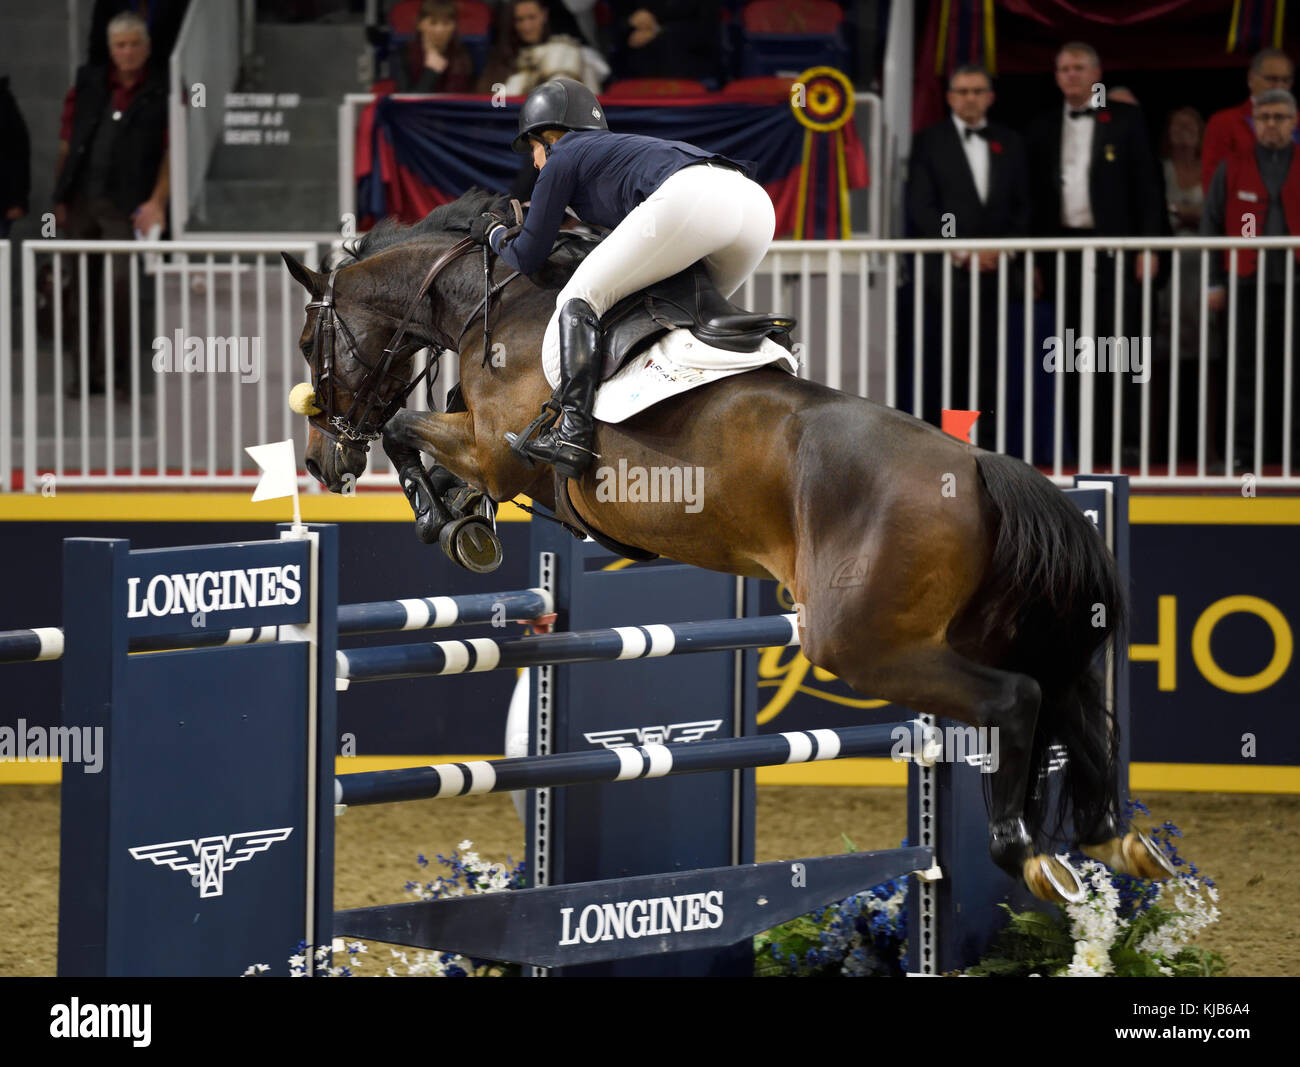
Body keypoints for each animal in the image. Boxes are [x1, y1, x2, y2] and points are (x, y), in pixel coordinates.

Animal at [281, 190, 1173, 904]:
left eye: (307, 344)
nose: (322, 462)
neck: (493, 304)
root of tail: (978, 467)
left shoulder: (500, 449)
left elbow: (408, 426)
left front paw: (452, 520)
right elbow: (420, 435)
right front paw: (461, 516)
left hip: (862, 640)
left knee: (1015, 699)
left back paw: (1027, 853)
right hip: (985, 624)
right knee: (1062, 694)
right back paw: (1112, 836)